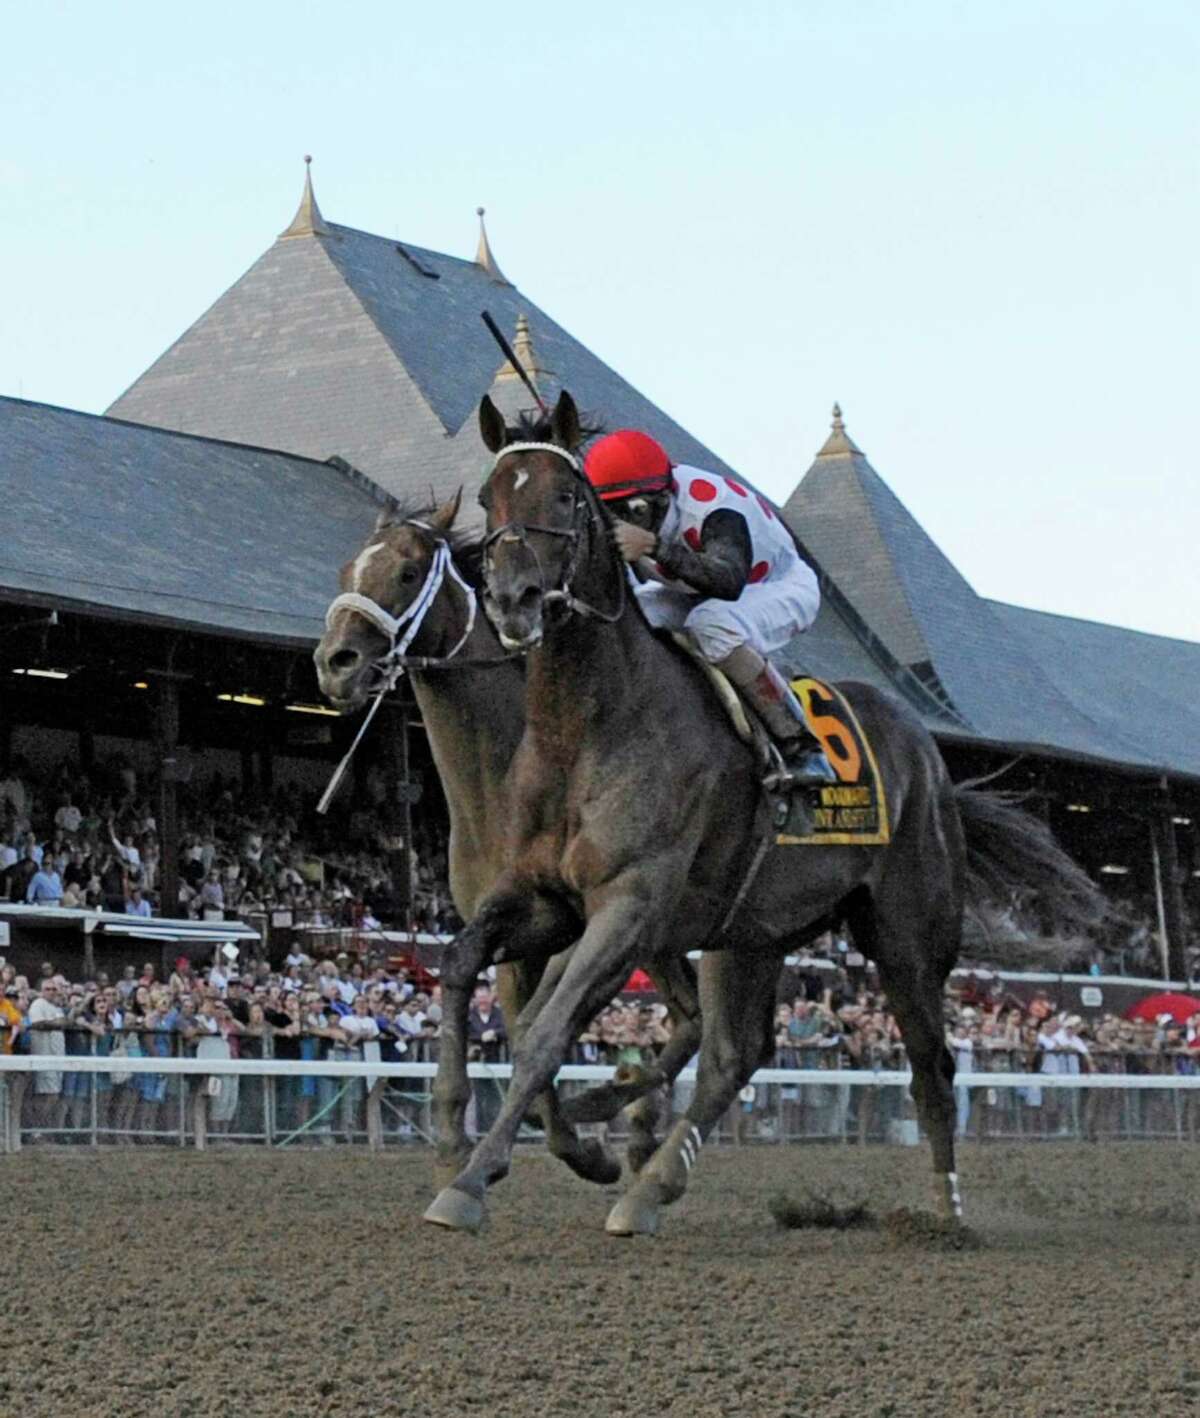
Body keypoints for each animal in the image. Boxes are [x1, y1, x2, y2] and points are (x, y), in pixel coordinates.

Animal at [417, 394, 1106, 1236]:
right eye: (491, 499)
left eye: (567, 496)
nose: (512, 601)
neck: (588, 726)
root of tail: (928, 751)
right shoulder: (544, 899)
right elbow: (460, 967)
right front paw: (458, 1135)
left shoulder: (630, 904)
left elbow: (546, 1031)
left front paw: (472, 1179)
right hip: (751, 929)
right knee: (734, 1054)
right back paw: (648, 1186)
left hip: (908, 937)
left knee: (928, 1064)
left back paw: (945, 1211)